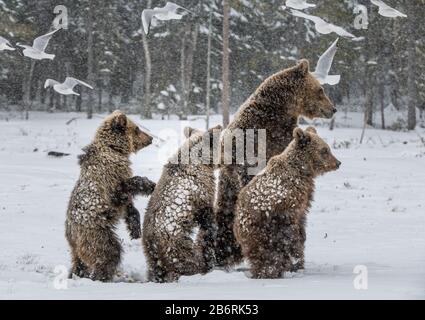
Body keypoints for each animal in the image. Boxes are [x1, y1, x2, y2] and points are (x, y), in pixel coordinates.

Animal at [67, 111, 157, 282]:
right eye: (136, 128)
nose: (150, 138)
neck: (114, 149)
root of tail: (71, 236)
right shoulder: (109, 179)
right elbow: (121, 190)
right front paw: (149, 184)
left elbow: (129, 207)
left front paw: (135, 229)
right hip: (95, 232)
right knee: (108, 252)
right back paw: (101, 275)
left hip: (79, 246)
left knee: (79, 263)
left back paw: (76, 274)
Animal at [142, 125, 222, 282]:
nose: (219, 126)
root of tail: (152, 243)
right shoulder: (200, 192)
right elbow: (207, 217)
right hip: (176, 243)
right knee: (186, 261)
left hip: (152, 256)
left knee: (156, 269)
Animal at [234, 126, 340, 278]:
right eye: (324, 150)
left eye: (328, 149)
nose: (338, 163)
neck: (302, 170)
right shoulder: (285, 201)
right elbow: (289, 230)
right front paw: (295, 256)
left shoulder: (305, 198)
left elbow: (301, 221)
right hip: (259, 231)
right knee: (268, 252)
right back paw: (273, 270)